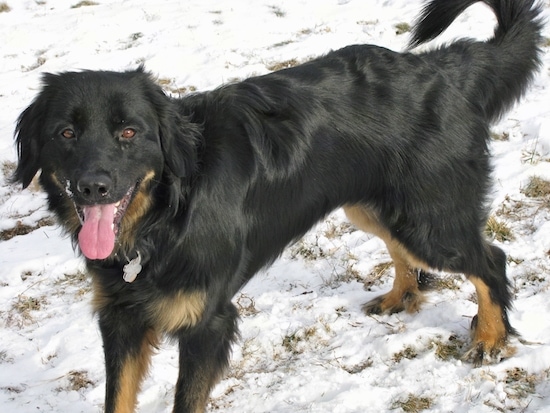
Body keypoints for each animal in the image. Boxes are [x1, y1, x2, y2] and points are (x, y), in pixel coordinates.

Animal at [11, 0, 544, 412]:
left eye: (128, 132)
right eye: (66, 132)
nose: (92, 187)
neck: (165, 219)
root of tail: (443, 69)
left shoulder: (208, 323)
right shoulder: (119, 319)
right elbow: (117, 397)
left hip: (429, 219)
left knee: (490, 260)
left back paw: (490, 339)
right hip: (375, 207)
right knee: (408, 254)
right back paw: (401, 296)